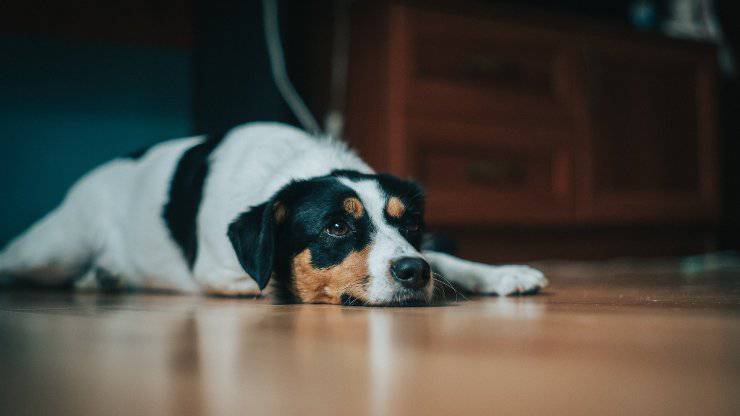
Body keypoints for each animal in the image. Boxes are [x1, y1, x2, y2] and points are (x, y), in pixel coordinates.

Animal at [0, 122, 544, 306]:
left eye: (410, 223)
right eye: (336, 226)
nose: (413, 271)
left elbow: (445, 259)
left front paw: (500, 273)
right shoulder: (216, 269)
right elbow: (270, 279)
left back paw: (104, 279)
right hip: (52, 250)